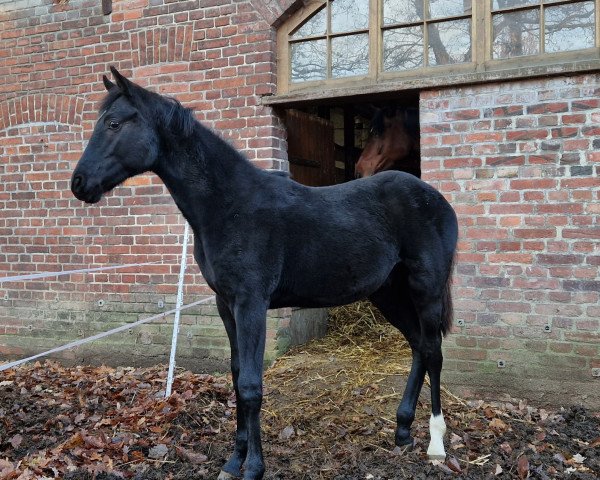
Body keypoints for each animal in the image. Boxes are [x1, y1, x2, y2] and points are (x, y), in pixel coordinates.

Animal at [70, 68, 458, 480]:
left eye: (113, 123)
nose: (79, 183)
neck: (231, 205)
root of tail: (436, 199)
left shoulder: (251, 304)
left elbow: (252, 385)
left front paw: (254, 466)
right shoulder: (226, 306)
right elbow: (237, 374)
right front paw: (233, 461)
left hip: (426, 288)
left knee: (433, 351)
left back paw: (435, 443)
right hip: (388, 292)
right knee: (418, 345)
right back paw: (402, 430)